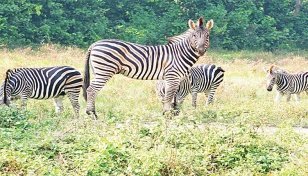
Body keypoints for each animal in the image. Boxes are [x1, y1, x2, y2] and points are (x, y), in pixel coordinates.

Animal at [83, 17, 214, 117]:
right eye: (194, 35)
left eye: (207, 35)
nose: (201, 51)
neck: (180, 53)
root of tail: (95, 43)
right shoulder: (172, 76)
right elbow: (169, 96)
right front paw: (167, 115)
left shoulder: (174, 78)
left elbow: (173, 97)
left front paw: (172, 113)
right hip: (104, 71)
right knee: (91, 90)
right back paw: (92, 114)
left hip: (97, 71)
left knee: (91, 90)